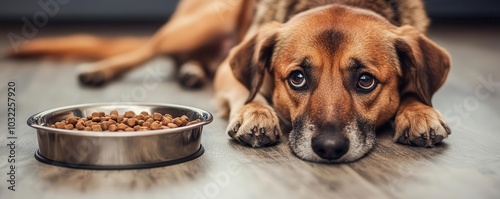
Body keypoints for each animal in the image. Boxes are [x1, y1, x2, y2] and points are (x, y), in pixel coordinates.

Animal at [9, 0, 452, 162]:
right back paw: (101, 69)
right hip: (203, 21)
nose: (328, 149)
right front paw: (257, 113)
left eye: (365, 81)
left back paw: (190, 71)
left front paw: (420, 112)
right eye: (297, 78)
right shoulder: (233, 68)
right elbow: (248, 89)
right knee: (148, 48)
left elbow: (418, 92)